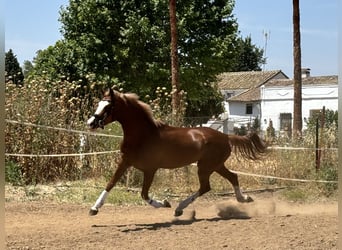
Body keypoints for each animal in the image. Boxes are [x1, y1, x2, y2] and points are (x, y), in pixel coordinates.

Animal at [87, 89, 266, 216]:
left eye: (108, 106)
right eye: (99, 104)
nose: (90, 123)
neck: (143, 135)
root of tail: (226, 136)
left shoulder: (150, 169)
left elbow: (144, 194)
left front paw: (165, 203)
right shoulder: (125, 162)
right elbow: (111, 183)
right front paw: (94, 208)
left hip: (206, 167)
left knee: (206, 187)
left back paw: (179, 208)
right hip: (215, 165)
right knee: (231, 177)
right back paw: (244, 198)